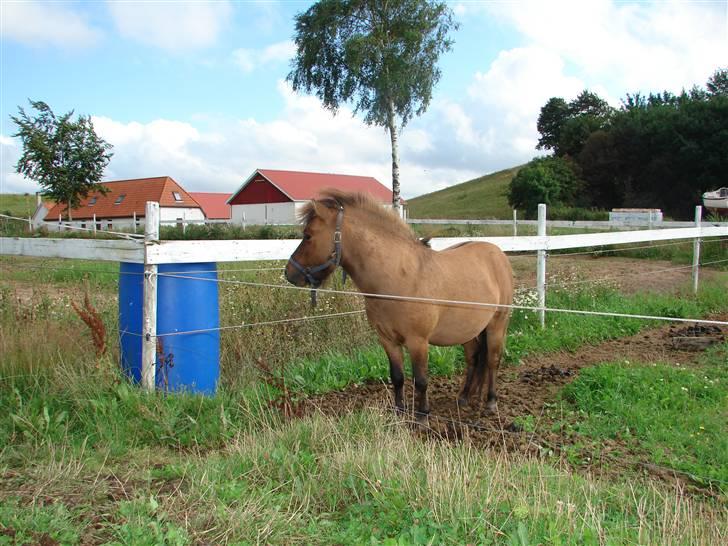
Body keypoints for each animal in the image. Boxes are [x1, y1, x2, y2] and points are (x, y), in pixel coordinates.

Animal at [284, 189, 512, 418]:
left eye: (308, 235)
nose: (289, 274)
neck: (398, 278)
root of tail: (498, 253)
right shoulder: (388, 340)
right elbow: (397, 377)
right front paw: (399, 411)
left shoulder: (418, 342)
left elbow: (421, 380)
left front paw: (422, 415)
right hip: (468, 330)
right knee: (473, 358)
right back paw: (464, 398)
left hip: (497, 324)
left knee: (492, 360)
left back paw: (491, 402)